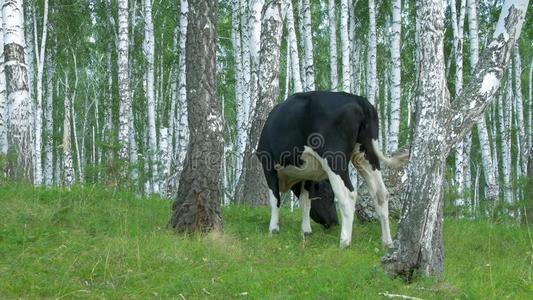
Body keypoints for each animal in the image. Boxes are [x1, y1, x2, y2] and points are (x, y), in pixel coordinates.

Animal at [256, 90, 406, 247]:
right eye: (326, 195)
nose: (334, 223)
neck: (291, 180)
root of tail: (359, 100)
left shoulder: (268, 165)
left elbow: (275, 200)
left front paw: (273, 230)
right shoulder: (306, 174)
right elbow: (305, 202)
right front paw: (306, 231)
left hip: (334, 159)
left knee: (349, 194)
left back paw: (344, 242)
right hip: (366, 155)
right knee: (381, 193)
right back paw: (387, 242)